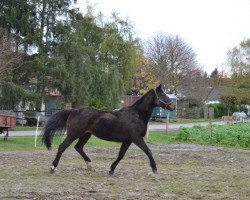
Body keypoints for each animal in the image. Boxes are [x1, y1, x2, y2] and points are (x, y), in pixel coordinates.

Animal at [41, 84, 175, 175]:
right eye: (163, 95)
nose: (173, 106)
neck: (136, 115)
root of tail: (73, 110)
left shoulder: (128, 140)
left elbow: (121, 155)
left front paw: (111, 169)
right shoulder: (136, 138)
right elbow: (148, 151)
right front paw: (154, 168)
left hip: (86, 134)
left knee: (78, 147)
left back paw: (90, 165)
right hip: (73, 134)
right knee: (62, 147)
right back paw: (52, 167)